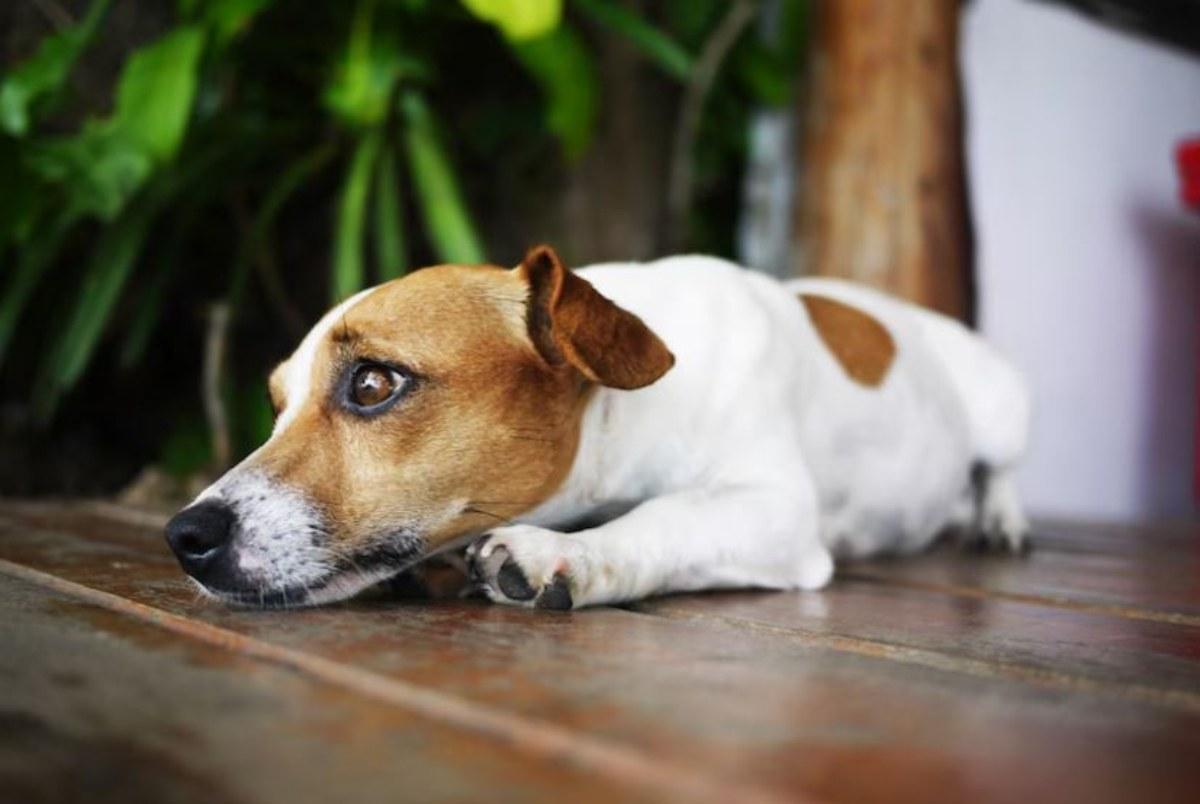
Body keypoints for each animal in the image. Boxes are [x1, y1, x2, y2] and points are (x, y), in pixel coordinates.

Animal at [162, 246, 1032, 612]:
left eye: (374, 383)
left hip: (1002, 405)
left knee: (1000, 469)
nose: (184, 536)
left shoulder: (772, 509)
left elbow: (665, 520)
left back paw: (1002, 520)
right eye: (277, 405)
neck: (622, 406)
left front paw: (562, 555)